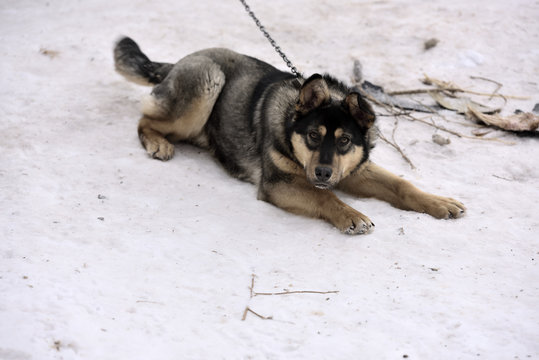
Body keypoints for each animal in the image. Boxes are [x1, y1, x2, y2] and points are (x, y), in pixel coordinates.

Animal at [113, 36, 464, 233]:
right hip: (208, 82)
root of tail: (177, 62)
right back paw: (158, 143)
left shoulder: (354, 170)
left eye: (345, 141)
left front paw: (438, 202)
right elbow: (324, 196)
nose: (322, 172)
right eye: (312, 135)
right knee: (145, 120)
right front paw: (351, 214)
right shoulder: (278, 184)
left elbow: (402, 185)